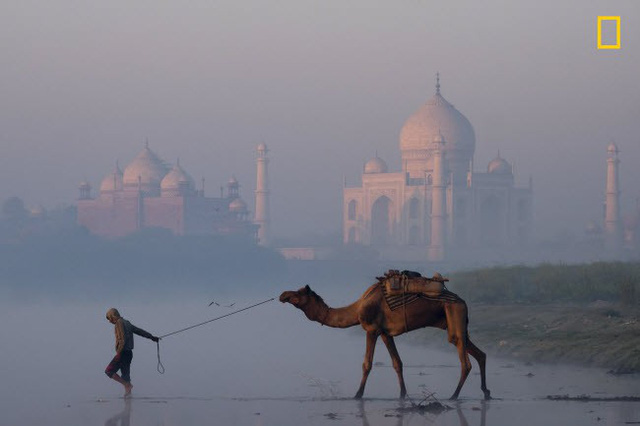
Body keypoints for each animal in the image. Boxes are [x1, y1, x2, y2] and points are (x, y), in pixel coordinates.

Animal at [278, 282, 490, 400]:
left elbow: (367, 364)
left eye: (299, 293)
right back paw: (486, 392)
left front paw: (357, 395)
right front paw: (403, 395)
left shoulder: (371, 329)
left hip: (454, 315)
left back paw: (454, 396)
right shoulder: (386, 333)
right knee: (480, 354)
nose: (283, 295)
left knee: (465, 359)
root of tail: (463, 302)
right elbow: (397, 363)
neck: (357, 309)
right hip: (456, 323)